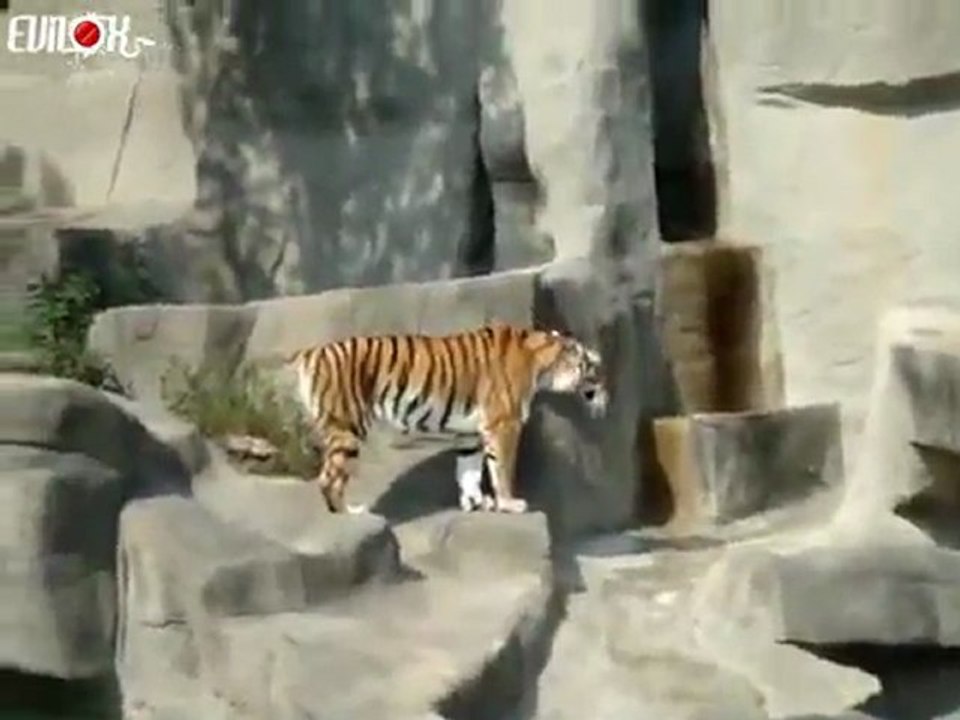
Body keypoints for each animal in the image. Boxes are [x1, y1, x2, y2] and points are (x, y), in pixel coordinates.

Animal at [283, 321, 608, 515]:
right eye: (594, 367)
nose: (606, 393)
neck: (542, 363)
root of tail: (310, 352)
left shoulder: (470, 432)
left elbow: (469, 469)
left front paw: (475, 502)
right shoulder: (505, 423)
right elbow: (502, 468)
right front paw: (508, 503)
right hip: (347, 426)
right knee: (328, 477)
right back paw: (350, 513)